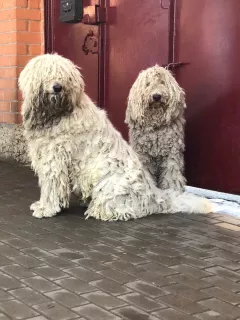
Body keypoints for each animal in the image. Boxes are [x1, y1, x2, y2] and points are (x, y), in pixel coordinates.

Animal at [126, 63, 187, 191]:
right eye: (148, 84)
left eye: (162, 82)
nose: (156, 96)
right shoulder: (143, 155)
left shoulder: (171, 153)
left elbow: (172, 175)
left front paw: (173, 190)